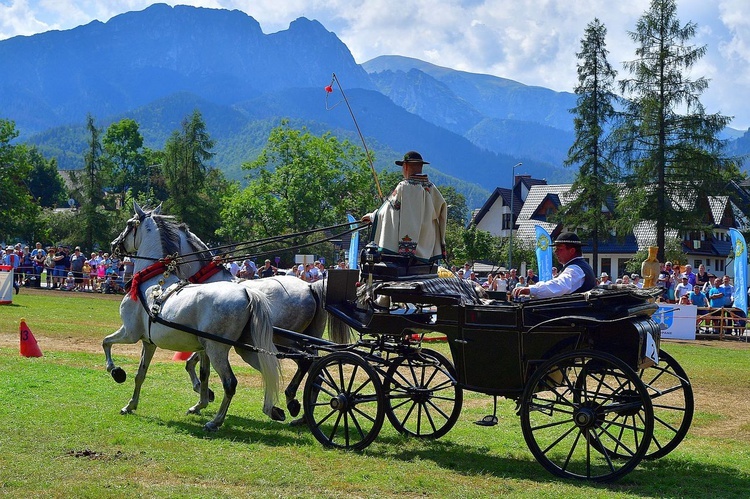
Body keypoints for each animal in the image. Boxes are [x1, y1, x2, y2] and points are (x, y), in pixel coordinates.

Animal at [103, 202, 284, 430]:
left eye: (129, 224)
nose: (113, 244)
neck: (151, 278)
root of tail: (246, 292)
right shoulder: (149, 342)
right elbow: (141, 374)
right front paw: (131, 405)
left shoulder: (130, 333)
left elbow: (106, 342)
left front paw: (115, 370)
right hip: (246, 349)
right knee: (268, 372)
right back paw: (272, 409)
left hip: (217, 349)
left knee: (230, 383)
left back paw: (216, 421)